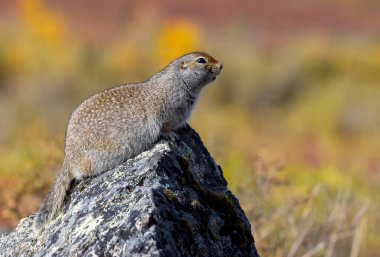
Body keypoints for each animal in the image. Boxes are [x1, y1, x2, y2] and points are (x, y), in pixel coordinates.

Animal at [34, 51, 223, 229]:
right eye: (201, 60)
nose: (221, 65)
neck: (179, 81)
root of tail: (68, 157)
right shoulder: (165, 114)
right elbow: (164, 128)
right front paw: (172, 135)